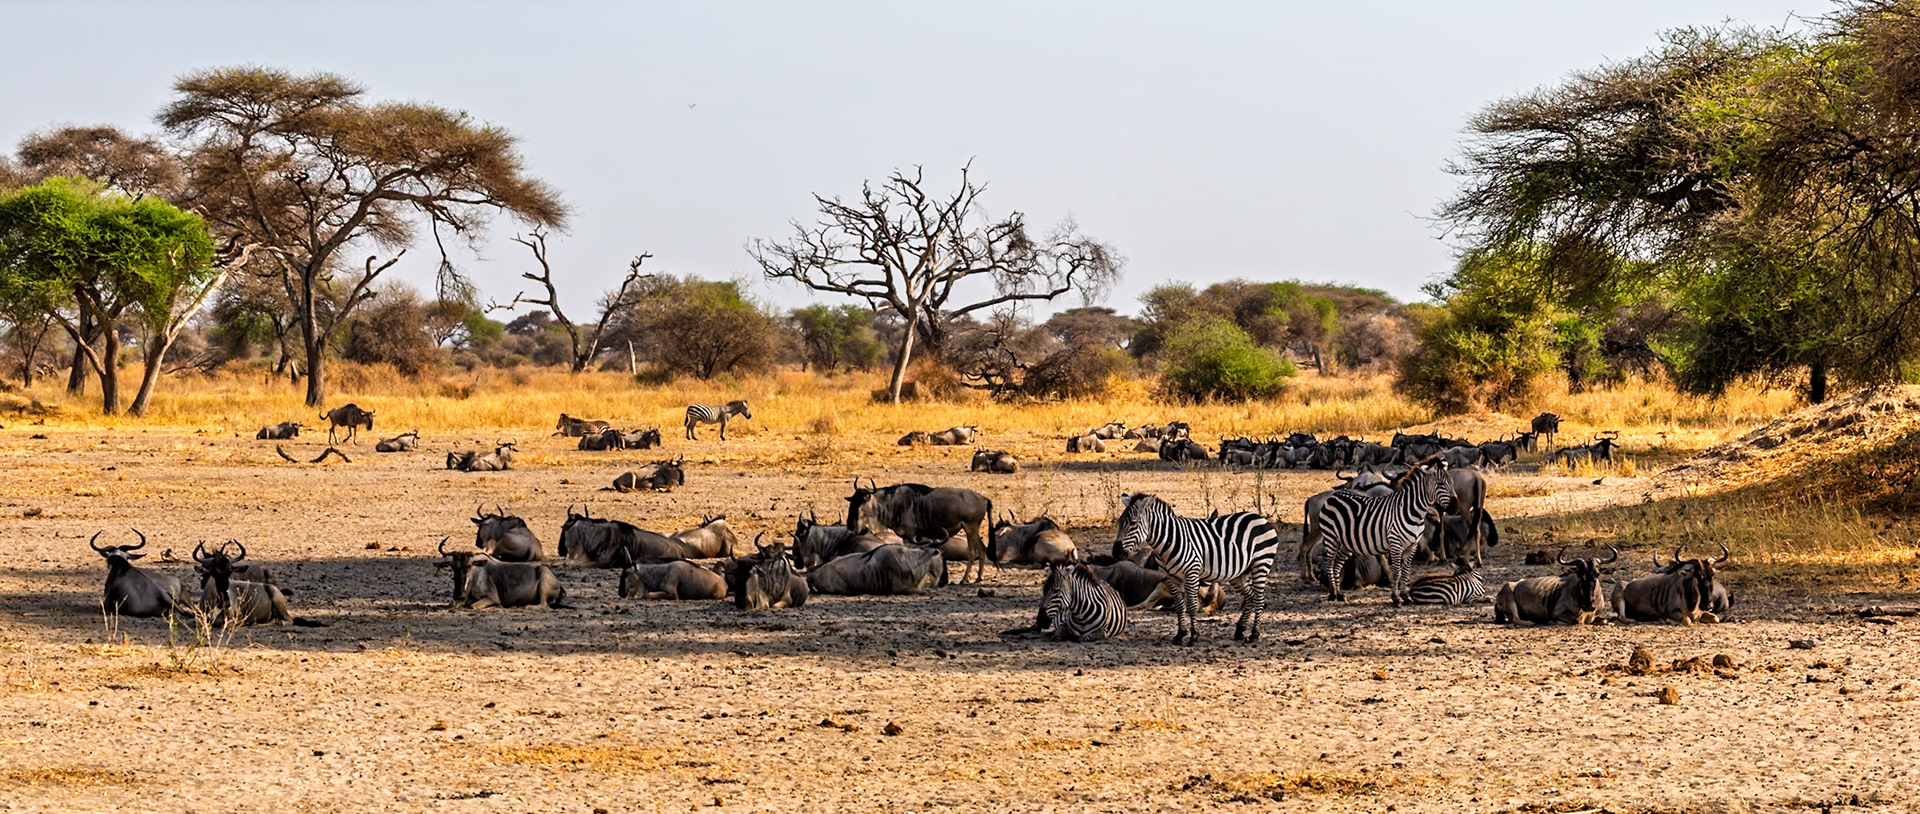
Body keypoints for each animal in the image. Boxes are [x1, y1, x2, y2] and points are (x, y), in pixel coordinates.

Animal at [1113, 493, 1280, 645]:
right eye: (1119, 522)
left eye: (1133, 523)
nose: (1116, 551)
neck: (1168, 542)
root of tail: (1260, 518)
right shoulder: (1171, 578)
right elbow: (1180, 606)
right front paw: (1180, 635)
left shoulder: (1192, 573)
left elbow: (1192, 606)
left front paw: (1193, 636)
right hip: (1239, 574)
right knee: (1251, 597)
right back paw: (1239, 631)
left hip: (1261, 564)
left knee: (1259, 598)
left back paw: (1254, 634)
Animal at [1319, 462, 1454, 606]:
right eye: (1440, 483)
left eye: (1452, 482)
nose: (1453, 506)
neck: (1413, 513)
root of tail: (1335, 495)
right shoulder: (1396, 544)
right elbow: (1396, 571)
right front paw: (1395, 597)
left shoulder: (1412, 545)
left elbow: (1406, 571)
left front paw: (1405, 596)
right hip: (1331, 537)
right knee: (1329, 563)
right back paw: (1332, 594)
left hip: (1347, 542)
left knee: (1337, 564)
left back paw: (1340, 594)